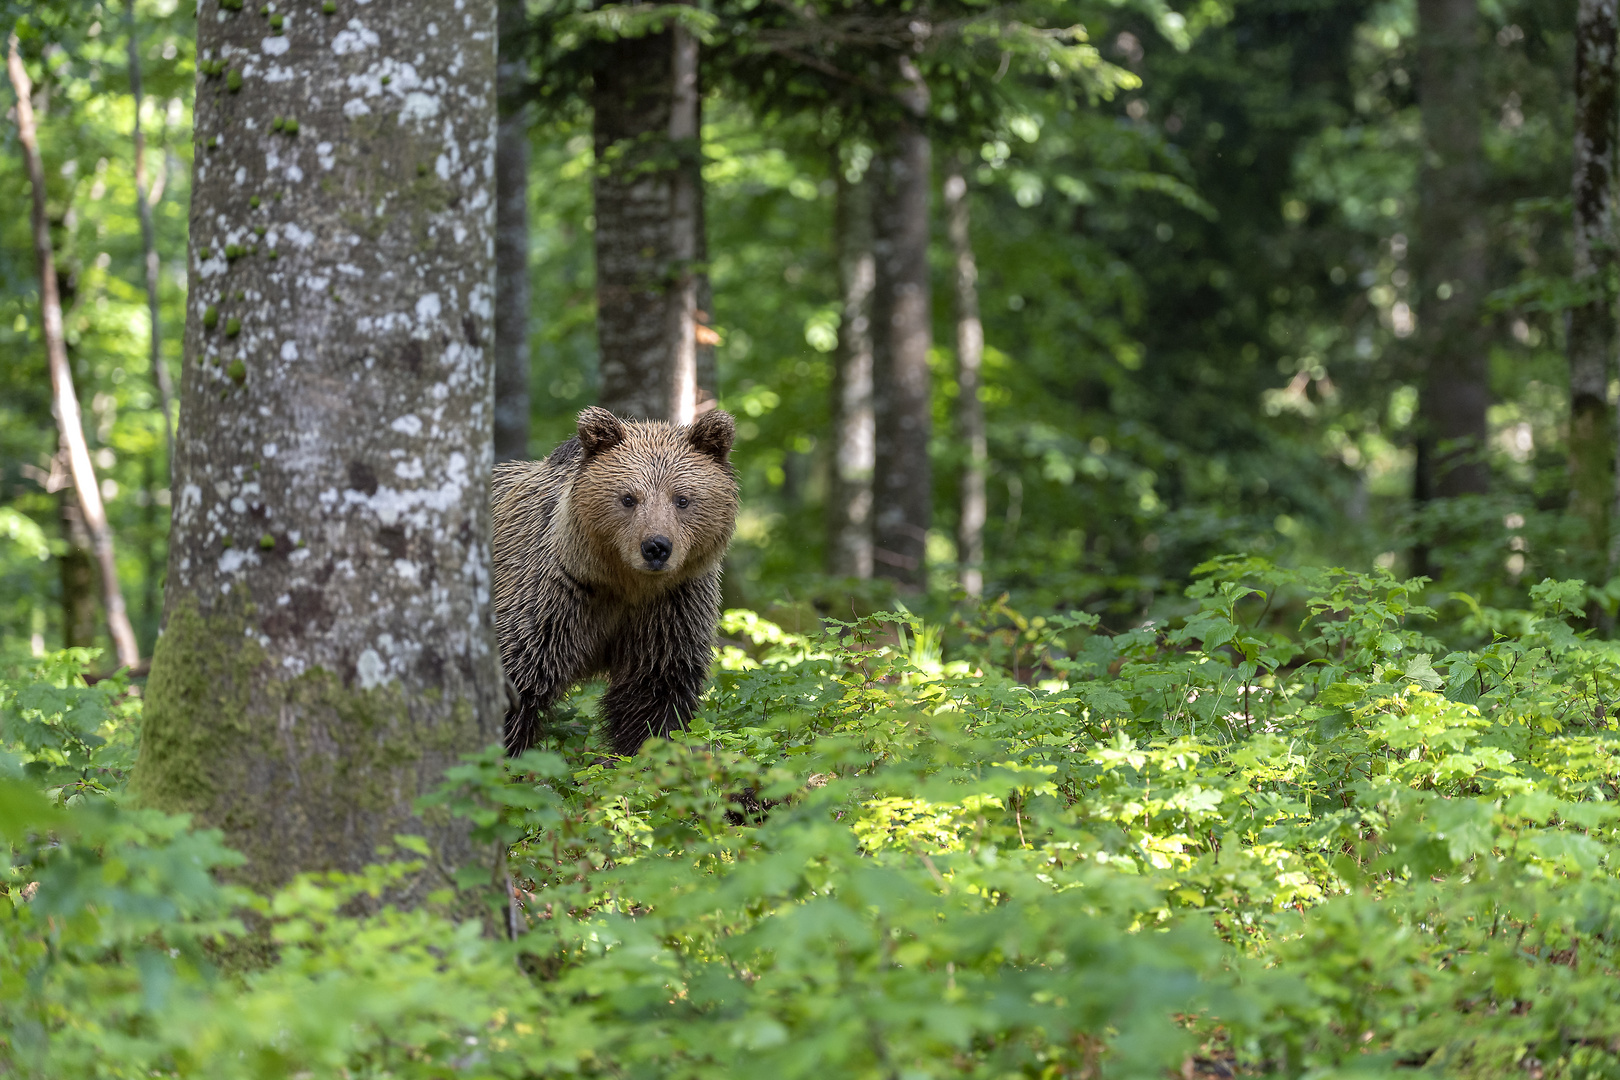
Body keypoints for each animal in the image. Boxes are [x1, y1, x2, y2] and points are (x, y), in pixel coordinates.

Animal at [492, 408, 741, 761]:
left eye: (682, 499)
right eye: (628, 498)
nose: (656, 547)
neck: (622, 583)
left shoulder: (669, 608)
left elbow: (653, 691)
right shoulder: (552, 598)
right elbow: (518, 677)